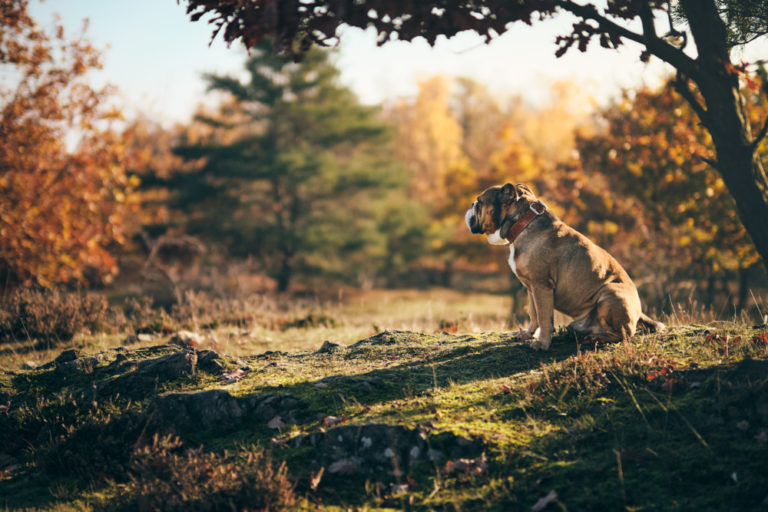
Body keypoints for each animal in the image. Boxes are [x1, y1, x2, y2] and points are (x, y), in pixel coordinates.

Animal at [464, 182, 664, 350]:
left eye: (479, 203)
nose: (471, 205)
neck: (523, 223)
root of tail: (639, 313)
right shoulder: (531, 288)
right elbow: (534, 314)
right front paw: (528, 334)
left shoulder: (541, 286)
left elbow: (544, 317)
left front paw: (542, 344)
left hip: (611, 293)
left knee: (624, 334)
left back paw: (593, 338)